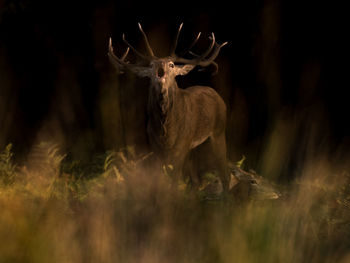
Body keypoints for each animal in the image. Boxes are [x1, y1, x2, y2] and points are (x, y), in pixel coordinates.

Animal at [109, 22, 230, 192]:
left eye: (171, 64)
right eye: (152, 65)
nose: (161, 67)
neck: (167, 130)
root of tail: (218, 96)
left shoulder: (182, 144)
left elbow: (174, 181)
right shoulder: (155, 147)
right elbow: (162, 180)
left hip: (218, 130)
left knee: (224, 172)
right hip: (195, 146)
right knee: (196, 180)